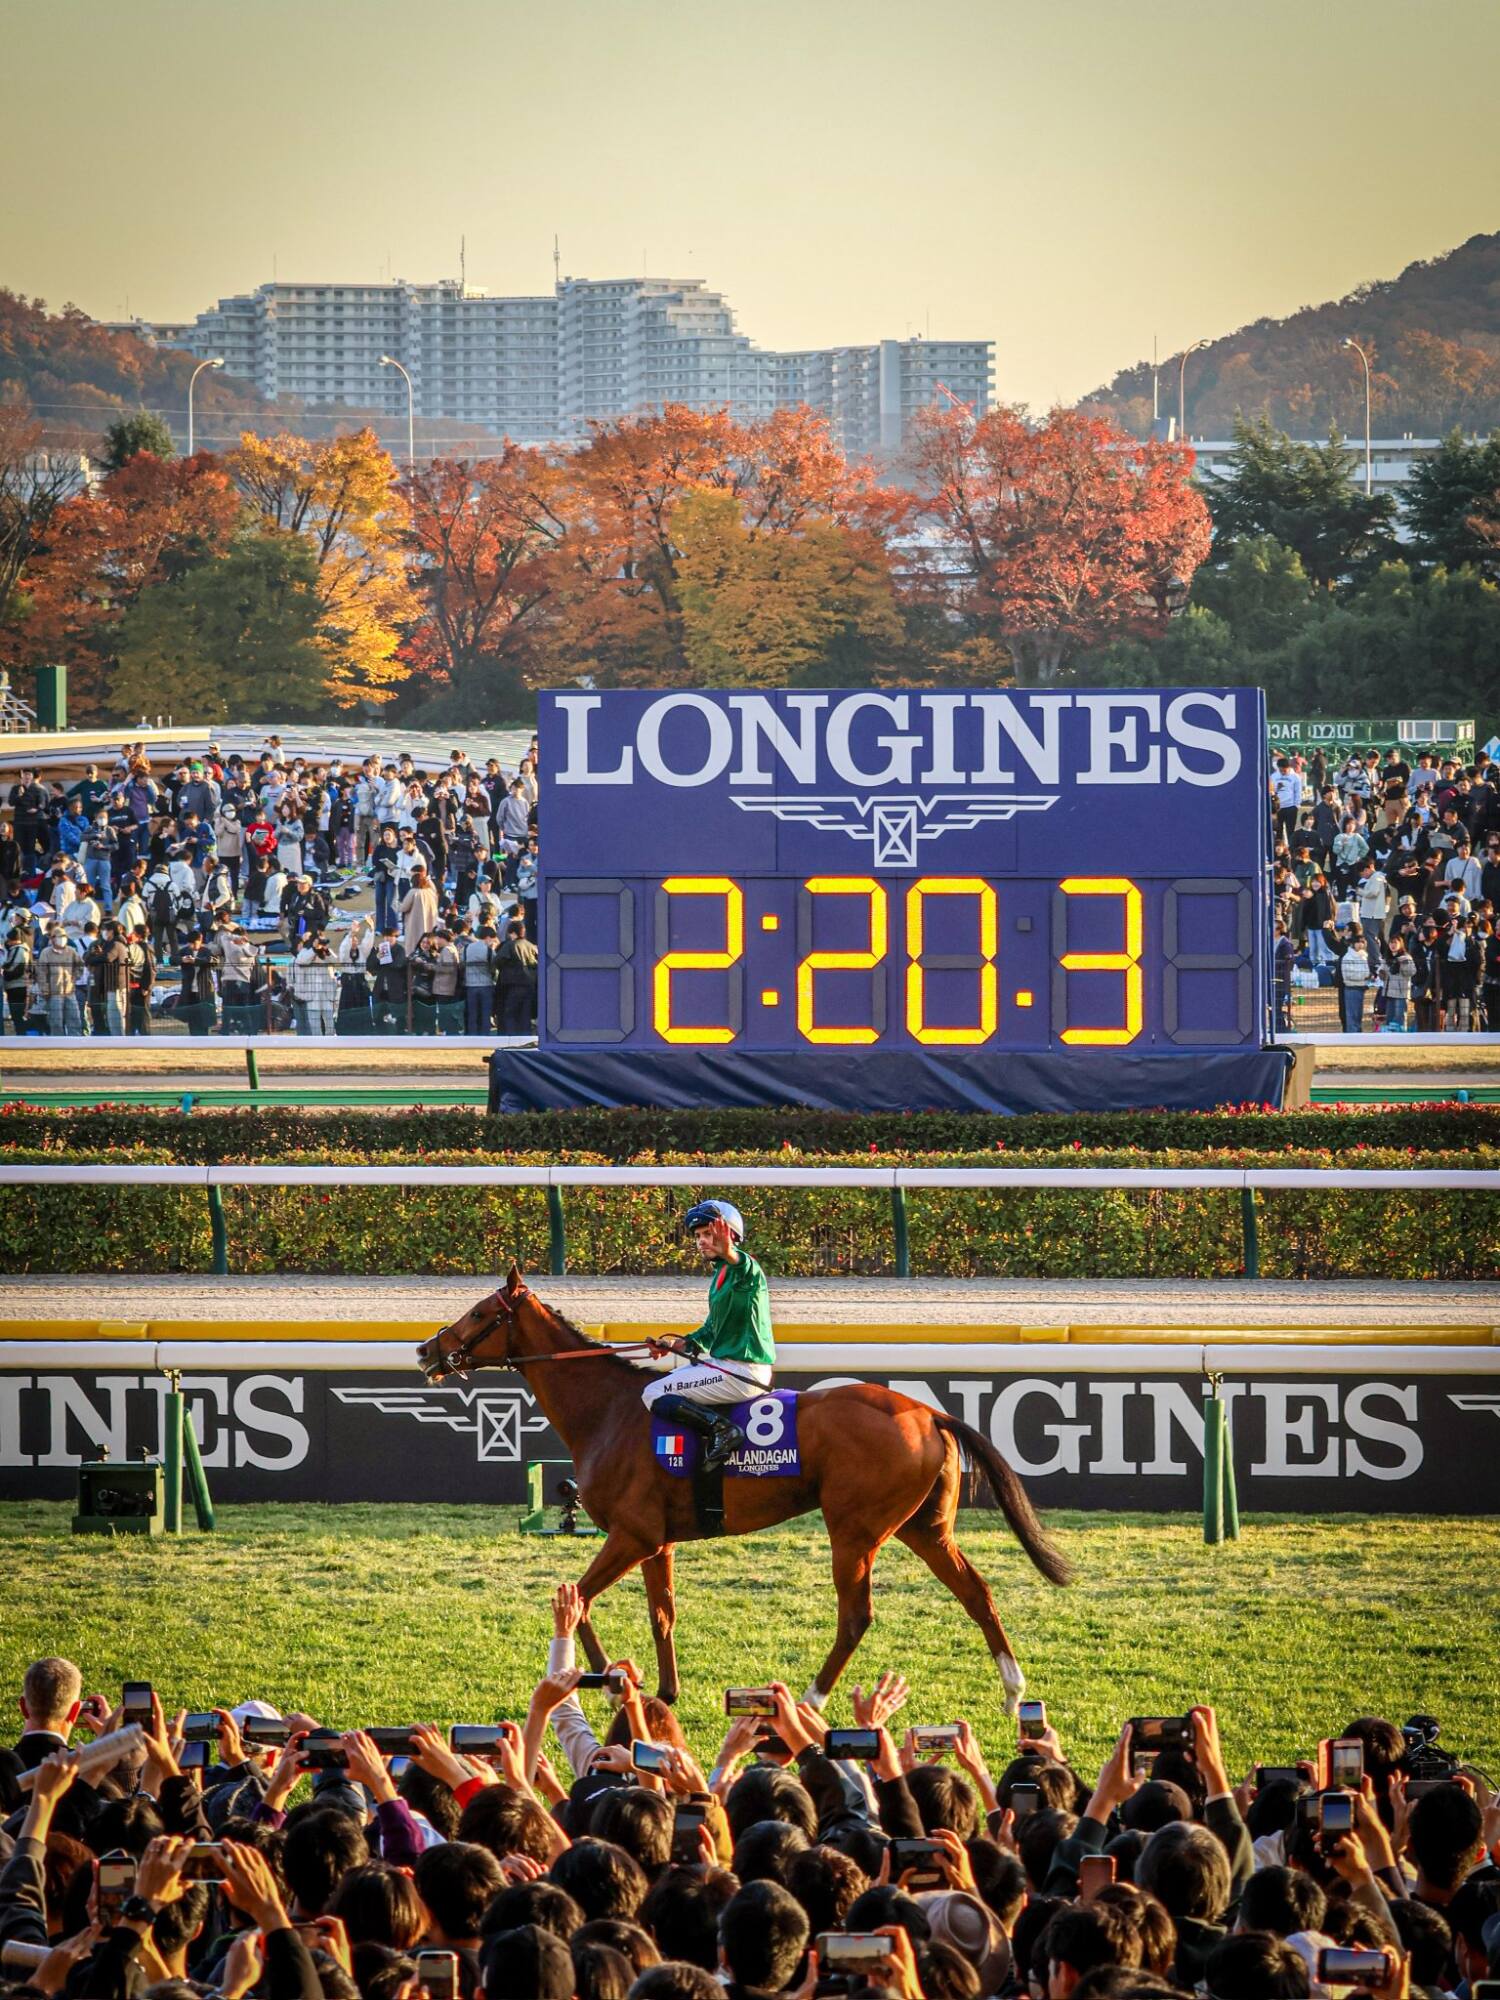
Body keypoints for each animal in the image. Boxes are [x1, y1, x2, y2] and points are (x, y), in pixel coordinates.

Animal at [416, 1265, 1072, 1713]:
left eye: (479, 1312)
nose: (426, 1349)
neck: (610, 1412)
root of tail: (927, 1412)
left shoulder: (632, 1535)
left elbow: (577, 1600)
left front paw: (604, 1681)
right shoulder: (657, 1542)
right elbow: (662, 1613)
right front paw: (664, 1690)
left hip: (855, 1530)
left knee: (856, 1616)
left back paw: (810, 1699)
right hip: (925, 1528)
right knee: (977, 1593)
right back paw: (1013, 1692)